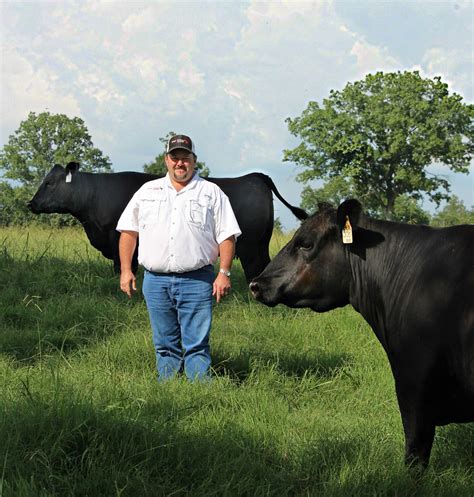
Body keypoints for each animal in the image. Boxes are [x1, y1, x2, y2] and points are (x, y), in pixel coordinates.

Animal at [28, 161, 308, 280]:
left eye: (49, 182)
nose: (30, 203)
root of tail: (256, 176)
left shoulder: (116, 238)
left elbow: (122, 265)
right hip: (260, 242)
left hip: (250, 244)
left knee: (255, 266)